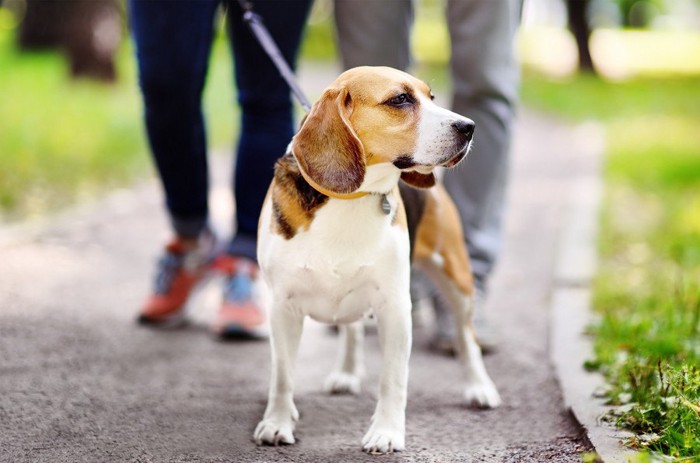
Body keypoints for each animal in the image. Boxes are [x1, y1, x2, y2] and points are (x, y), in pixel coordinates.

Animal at [254, 67, 500, 454]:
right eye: (399, 99)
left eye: (431, 97)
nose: (468, 126)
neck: (349, 197)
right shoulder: (282, 308)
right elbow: (282, 375)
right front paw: (277, 423)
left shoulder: (395, 308)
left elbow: (393, 379)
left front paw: (386, 432)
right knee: (352, 328)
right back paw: (346, 372)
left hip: (457, 279)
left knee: (466, 337)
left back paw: (480, 387)